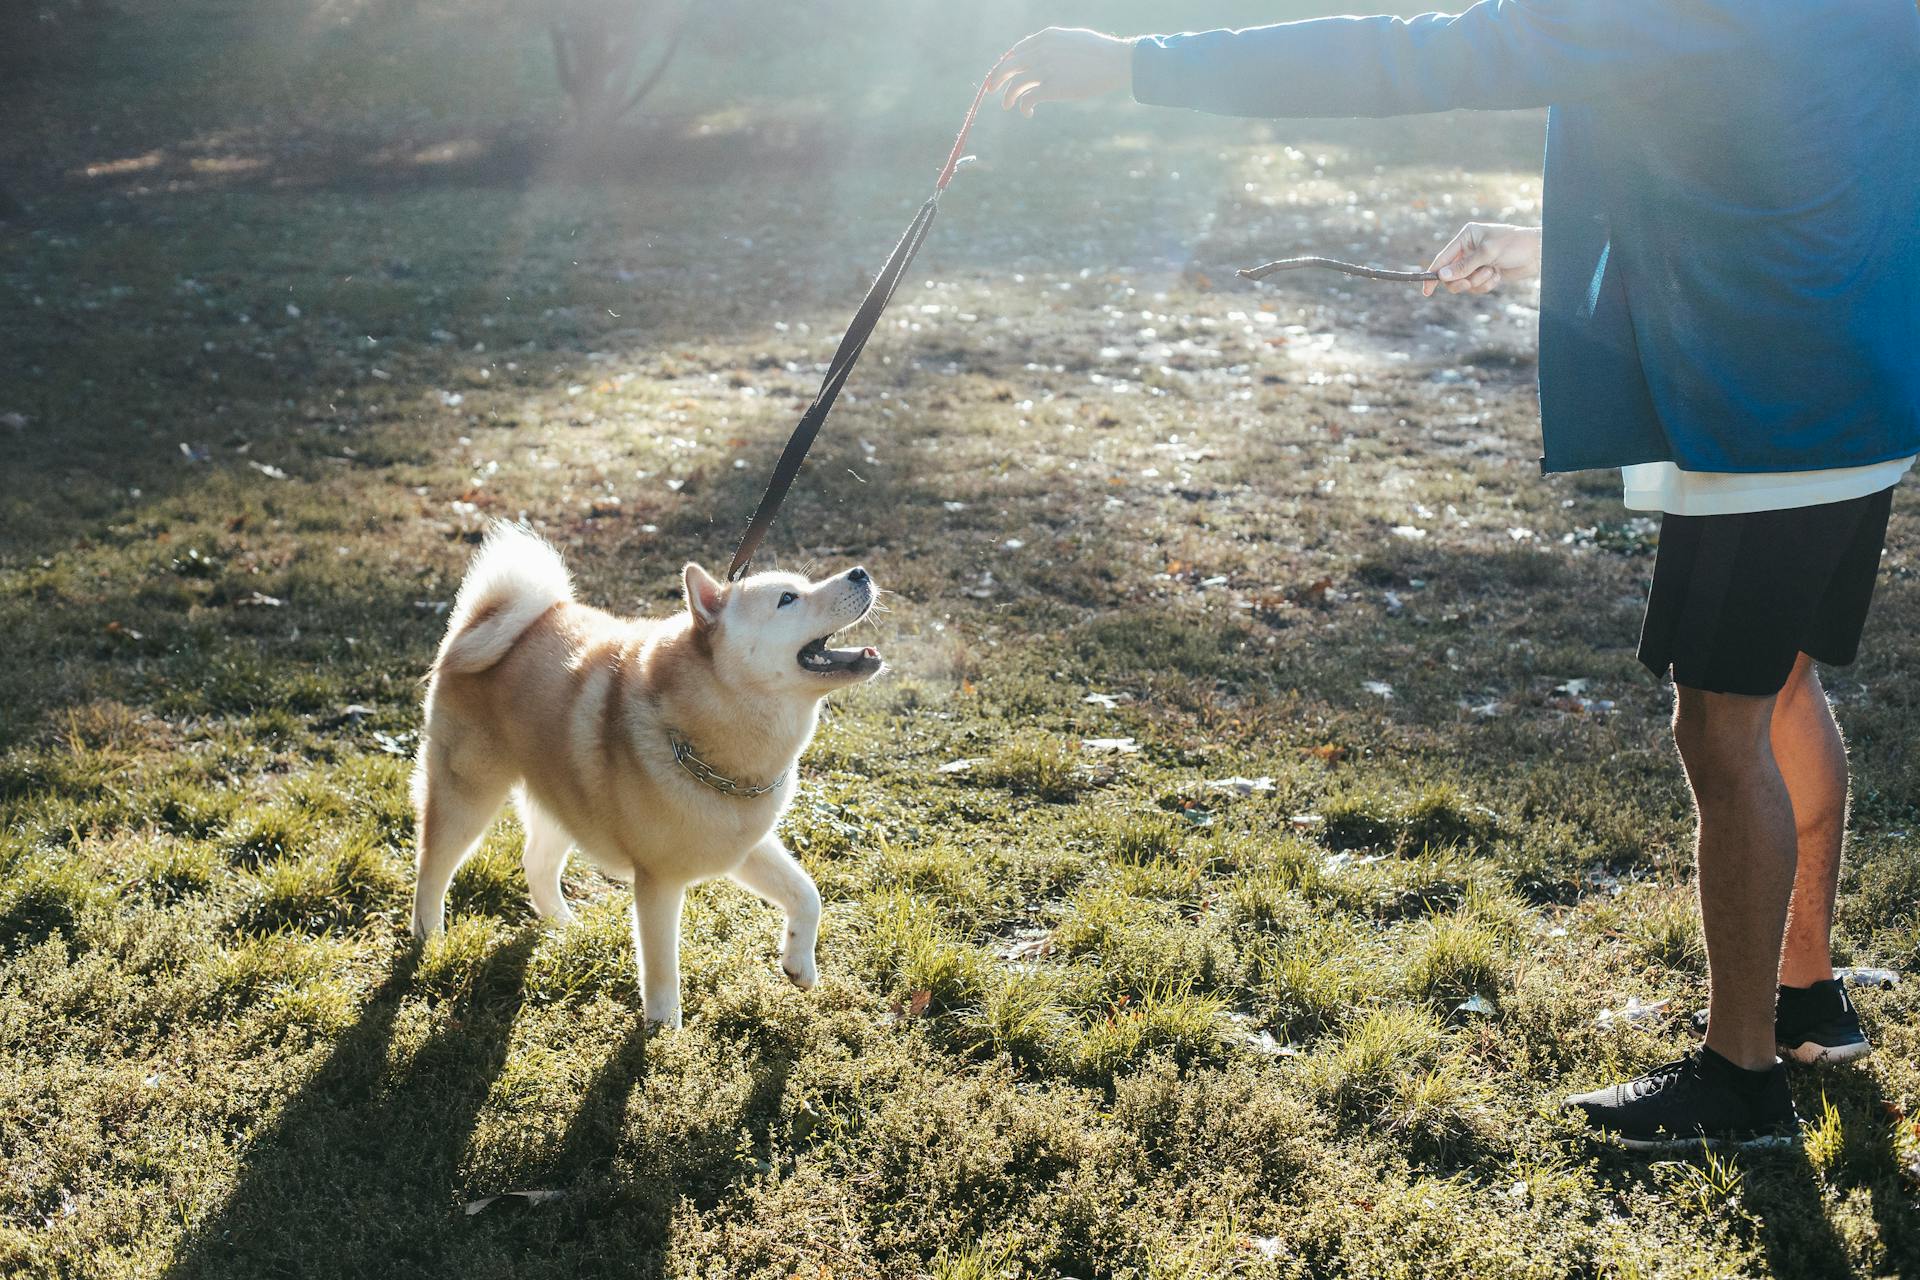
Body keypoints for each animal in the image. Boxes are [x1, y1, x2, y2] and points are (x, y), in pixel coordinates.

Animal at [410, 525, 883, 1028]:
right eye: (788, 598)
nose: (859, 571)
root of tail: (482, 621)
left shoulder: (743, 845)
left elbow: (807, 894)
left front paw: (800, 964)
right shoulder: (658, 882)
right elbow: (661, 967)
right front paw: (663, 1032)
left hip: (563, 801)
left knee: (536, 864)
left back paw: (564, 927)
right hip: (467, 794)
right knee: (432, 867)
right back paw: (429, 937)